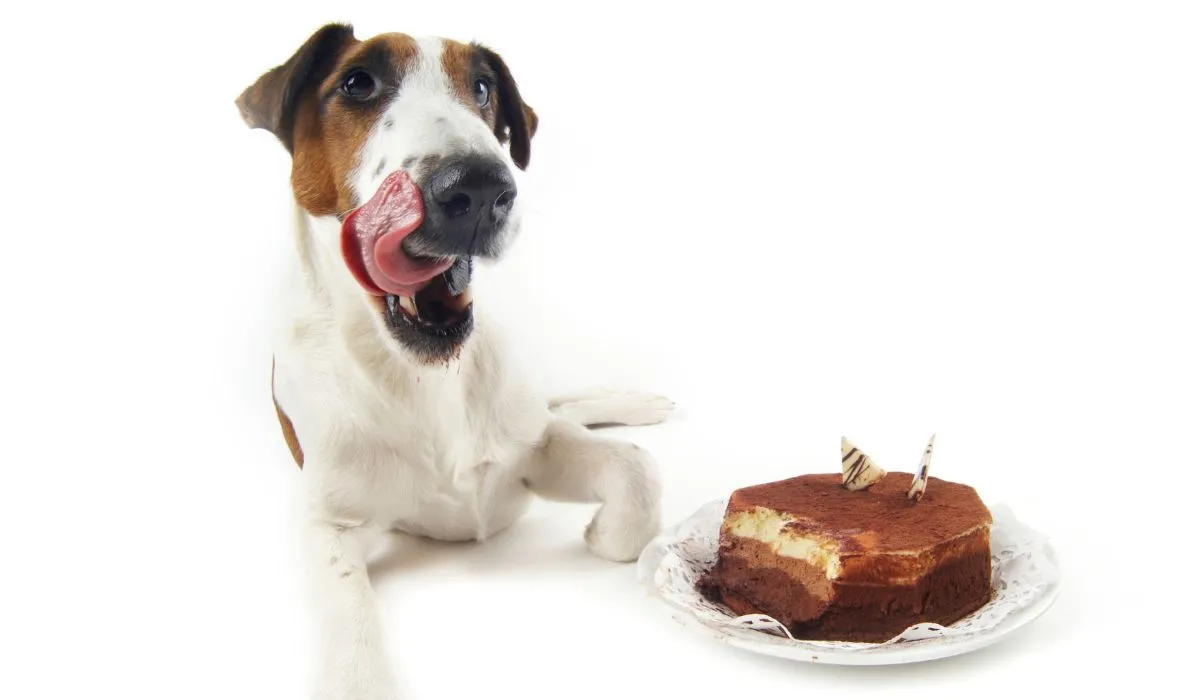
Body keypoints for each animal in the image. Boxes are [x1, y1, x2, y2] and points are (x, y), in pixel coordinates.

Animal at [229, 21, 672, 700]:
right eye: (357, 83)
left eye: (483, 88)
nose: (481, 187)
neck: (423, 375)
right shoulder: (329, 523)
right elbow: (349, 613)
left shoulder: (531, 454)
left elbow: (636, 473)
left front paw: (602, 536)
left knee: (569, 408)